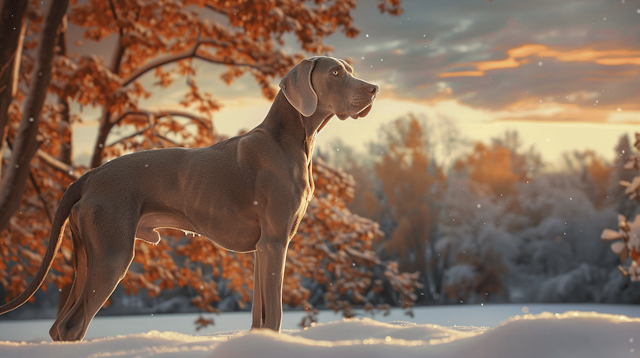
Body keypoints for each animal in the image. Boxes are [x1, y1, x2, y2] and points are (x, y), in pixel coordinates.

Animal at [0, 56, 378, 342]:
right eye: (335, 73)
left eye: (349, 68)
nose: (374, 89)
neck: (288, 139)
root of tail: (89, 176)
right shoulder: (275, 242)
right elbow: (275, 313)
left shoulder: (262, 249)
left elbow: (259, 316)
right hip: (112, 254)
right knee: (71, 326)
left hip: (85, 255)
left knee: (58, 326)